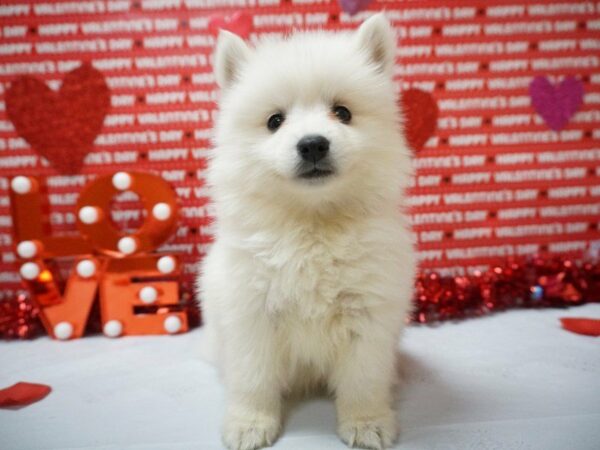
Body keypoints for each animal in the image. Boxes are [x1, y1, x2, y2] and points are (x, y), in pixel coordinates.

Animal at [199, 13, 414, 450]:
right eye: (275, 121)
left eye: (343, 113)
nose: (313, 144)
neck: (312, 224)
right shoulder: (251, 313)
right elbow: (253, 379)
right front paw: (249, 424)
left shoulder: (368, 312)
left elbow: (363, 380)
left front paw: (367, 424)